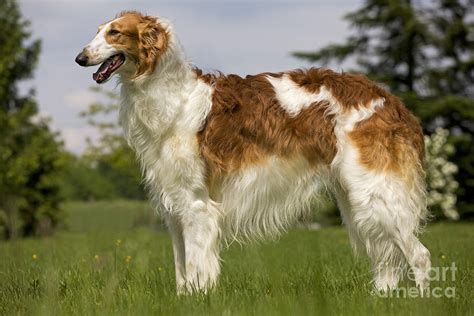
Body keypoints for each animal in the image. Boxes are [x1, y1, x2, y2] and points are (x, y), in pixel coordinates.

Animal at [75, 11, 434, 294]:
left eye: (114, 32)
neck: (173, 98)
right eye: (98, 30)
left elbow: (196, 270)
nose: (79, 58)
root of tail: (393, 101)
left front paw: (199, 297)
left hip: (375, 194)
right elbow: (182, 274)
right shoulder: (175, 209)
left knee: (419, 255)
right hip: (356, 196)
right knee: (387, 259)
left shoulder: (197, 206)